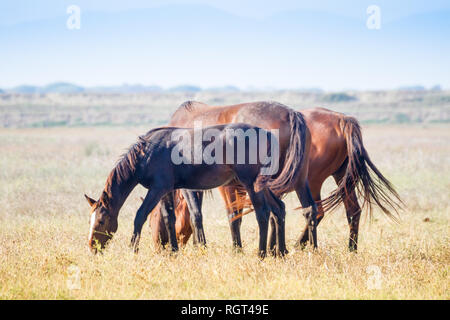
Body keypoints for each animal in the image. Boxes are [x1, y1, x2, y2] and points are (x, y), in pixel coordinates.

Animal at [83, 120, 312, 258]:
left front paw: (133, 249)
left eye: (101, 221)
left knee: (263, 215)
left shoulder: (157, 190)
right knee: (279, 209)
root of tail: (267, 134)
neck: (147, 153)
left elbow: (139, 216)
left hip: (251, 184)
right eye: (89, 220)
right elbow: (169, 218)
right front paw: (173, 251)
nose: (92, 247)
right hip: (263, 186)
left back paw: (261, 254)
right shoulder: (166, 191)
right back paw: (281, 251)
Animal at [149, 102, 400, 252]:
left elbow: (211, 214)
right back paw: (344, 249)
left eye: (153, 218)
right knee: (345, 211)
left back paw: (291, 246)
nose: (158, 246)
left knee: (307, 211)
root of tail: (342, 120)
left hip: (308, 181)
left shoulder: (217, 187)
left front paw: (224, 248)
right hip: (335, 178)